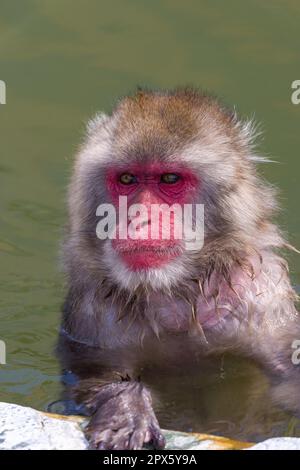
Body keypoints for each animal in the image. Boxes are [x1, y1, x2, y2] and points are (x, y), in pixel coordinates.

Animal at [56, 86, 300, 450]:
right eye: (127, 179)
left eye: (169, 178)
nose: (140, 217)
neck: (174, 291)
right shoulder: (91, 313)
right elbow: (90, 375)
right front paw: (125, 408)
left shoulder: (262, 296)